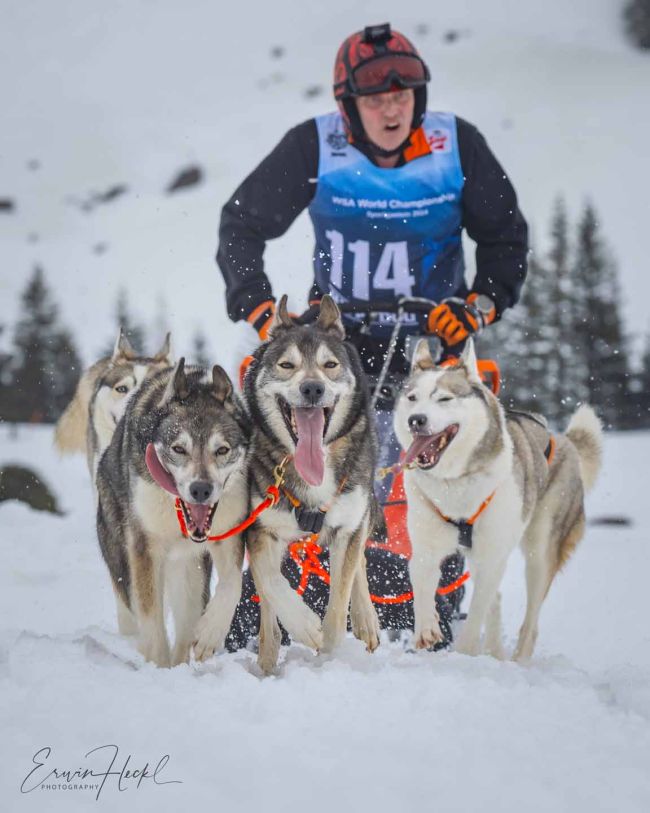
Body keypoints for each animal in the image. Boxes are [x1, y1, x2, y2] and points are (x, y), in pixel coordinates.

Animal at [96, 358, 250, 666]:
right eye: (179, 448)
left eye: (222, 450)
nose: (200, 489)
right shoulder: (144, 547)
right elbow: (151, 619)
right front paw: (157, 667)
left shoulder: (229, 532)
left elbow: (232, 583)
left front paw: (209, 635)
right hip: (122, 559)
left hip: (191, 571)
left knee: (187, 620)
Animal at [234, 295, 380, 673]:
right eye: (287, 365)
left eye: (330, 365)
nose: (312, 387)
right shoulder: (259, 530)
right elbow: (272, 584)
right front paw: (302, 627)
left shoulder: (348, 526)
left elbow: (337, 609)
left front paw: (327, 652)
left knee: (359, 562)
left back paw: (366, 619)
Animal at [394, 339, 602, 660]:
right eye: (412, 397)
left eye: (444, 398)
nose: (416, 420)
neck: (456, 482)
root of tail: (564, 440)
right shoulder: (427, 545)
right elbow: (420, 579)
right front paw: (427, 628)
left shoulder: (492, 555)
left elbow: (477, 612)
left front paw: (465, 655)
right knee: (496, 597)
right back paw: (494, 652)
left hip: (540, 553)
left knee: (529, 623)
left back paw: (516, 661)